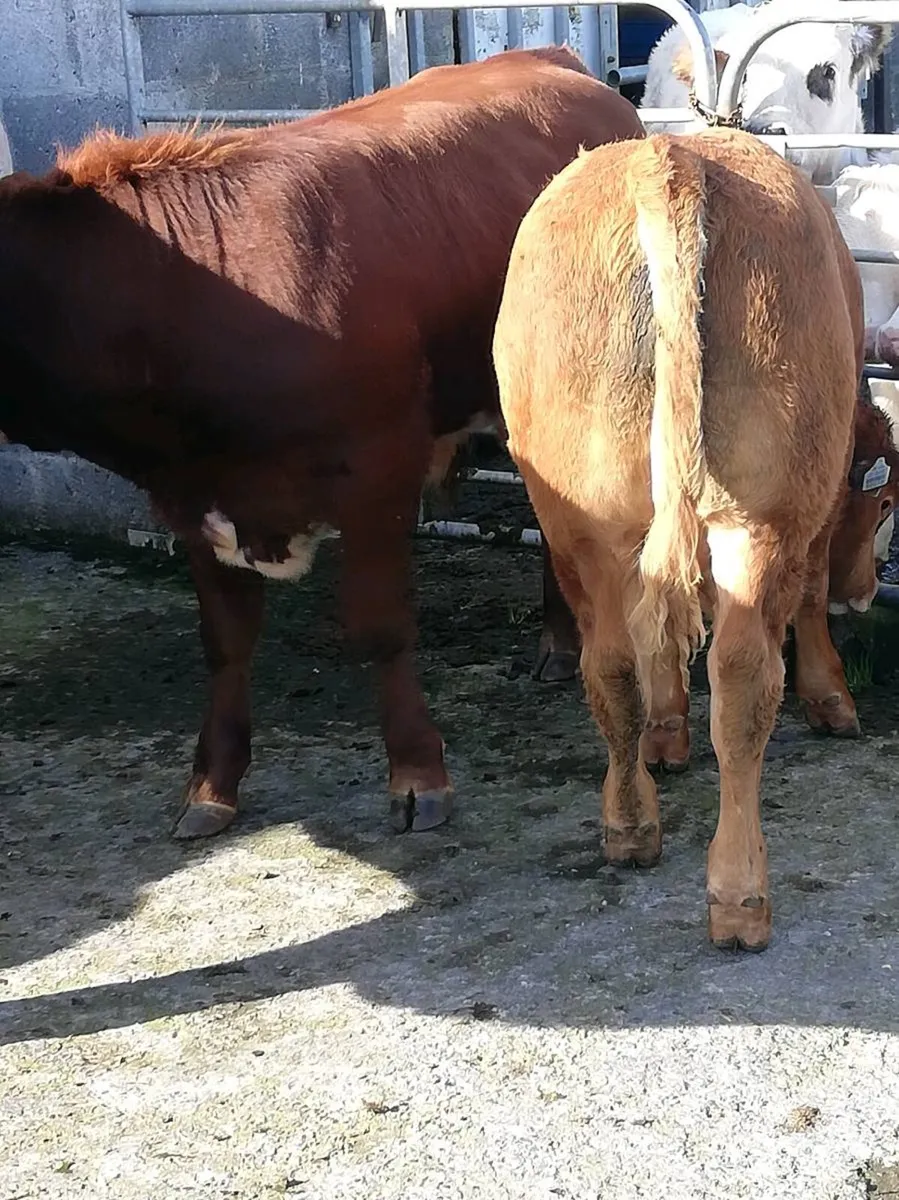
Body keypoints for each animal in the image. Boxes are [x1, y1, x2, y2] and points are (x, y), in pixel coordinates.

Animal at [0, 46, 645, 840]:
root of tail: (552, 58)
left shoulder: (378, 469)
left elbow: (380, 628)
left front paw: (417, 777)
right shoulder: (191, 494)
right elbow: (225, 643)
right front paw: (211, 786)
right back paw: (555, 644)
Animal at [493, 127, 877, 950]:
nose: (868, 590)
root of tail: (669, 158)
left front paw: (664, 735)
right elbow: (807, 597)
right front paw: (830, 697)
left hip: (587, 518)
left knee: (621, 662)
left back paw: (641, 832)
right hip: (762, 513)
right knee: (739, 676)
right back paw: (729, 887)